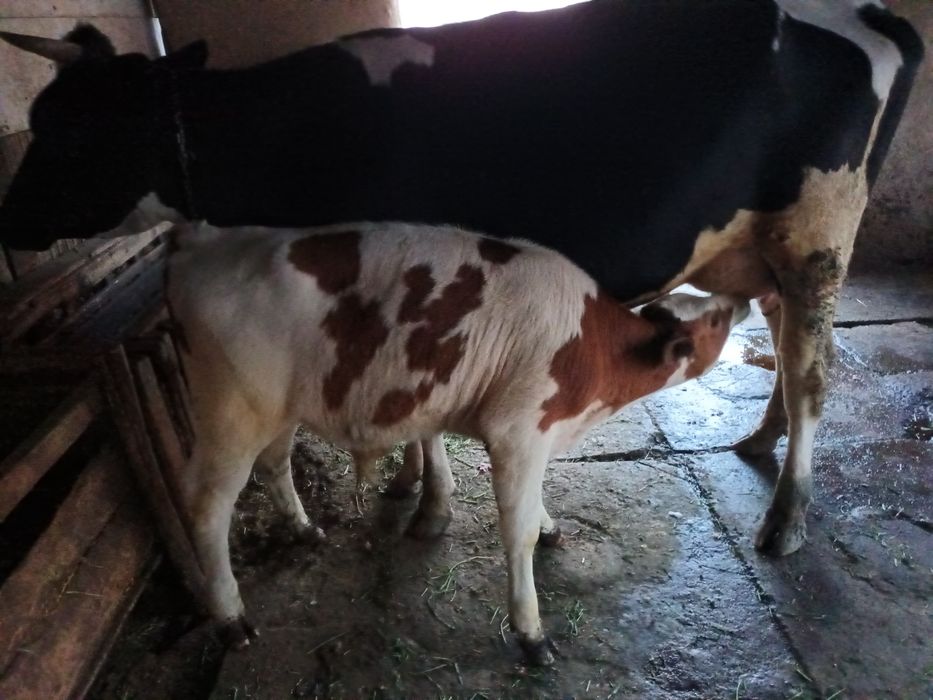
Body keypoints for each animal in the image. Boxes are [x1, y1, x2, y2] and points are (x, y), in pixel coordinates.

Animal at [0, 1, 922, 559]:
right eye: (39, 117)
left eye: (71, 133)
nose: (8, 223)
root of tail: (864, 12)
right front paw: (412, 486)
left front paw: (430, 504)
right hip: (764, 246)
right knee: (784, 340)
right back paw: (760, 440)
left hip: (817, 236)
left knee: (810, 372)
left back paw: (787, 512)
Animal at [166, 220, 749, 665]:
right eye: (715, 320)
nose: (741, 300)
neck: (591, 348)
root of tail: (206, 242)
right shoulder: (518, 431)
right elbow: (517, 534)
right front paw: (531, 631)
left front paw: (549, 525)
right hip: (231, 414)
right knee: (206, 506)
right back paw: (231, 617)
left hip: (281, 407)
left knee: (274, 463)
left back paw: (303, 528)